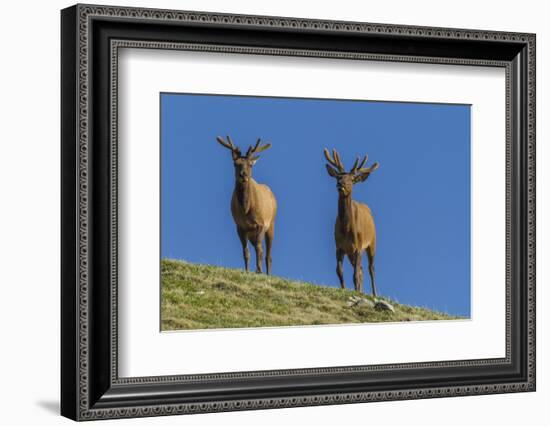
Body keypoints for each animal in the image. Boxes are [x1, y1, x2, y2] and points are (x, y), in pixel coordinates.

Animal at [216, 138, 276, 274]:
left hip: (271, 224)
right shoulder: (240, 226)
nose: (243, 175)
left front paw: (258, 270)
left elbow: (259, 249)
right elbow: (246, 252)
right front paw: (248, 271)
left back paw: (268, 273)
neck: (246, 209)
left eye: (250, 164)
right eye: (235, 163)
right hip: (251, 234)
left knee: (268, 254)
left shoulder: (261, 223)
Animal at [326, 148, 382, 294]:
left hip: (372, 242)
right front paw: (344, 289)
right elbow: (339, 271)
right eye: (338, 176)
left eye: (352, 179)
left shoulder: (358, 246)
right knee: (361, 270)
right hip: (352, 252)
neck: (346, 229)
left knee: (371, 268)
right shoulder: (339, 246)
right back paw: (360, 290)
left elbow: (355, 274)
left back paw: (374, 293)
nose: (340, 184)